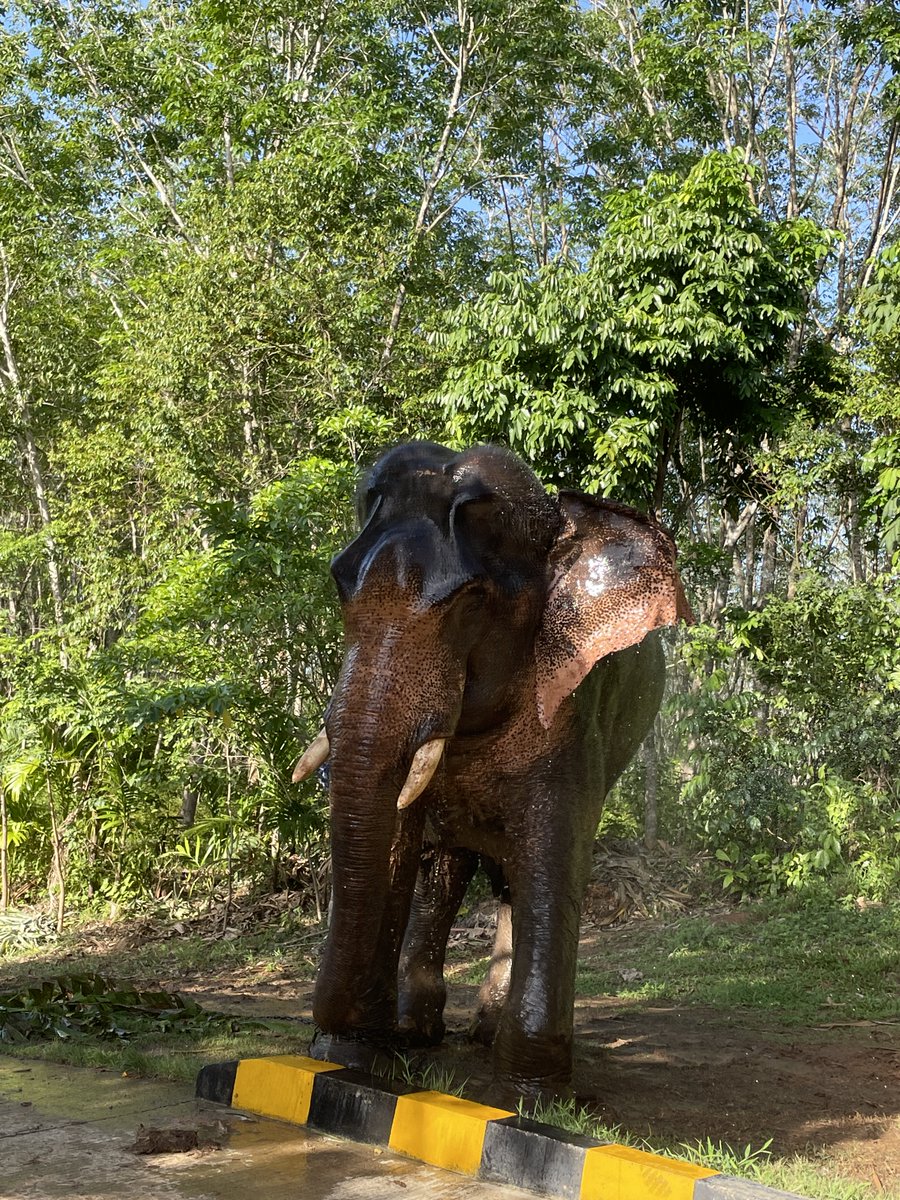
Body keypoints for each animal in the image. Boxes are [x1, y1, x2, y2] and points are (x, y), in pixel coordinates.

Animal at [293, 441, 691, 1099]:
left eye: (471, 602)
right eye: (338, 583)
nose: (326, 1023)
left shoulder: (573, 707)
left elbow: (554, 850)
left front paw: (529, 1096)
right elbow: (401, 841)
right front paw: (354, 1059)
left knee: (511, 874)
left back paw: (481, 1030)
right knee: (449, 871)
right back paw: (419, 1029)